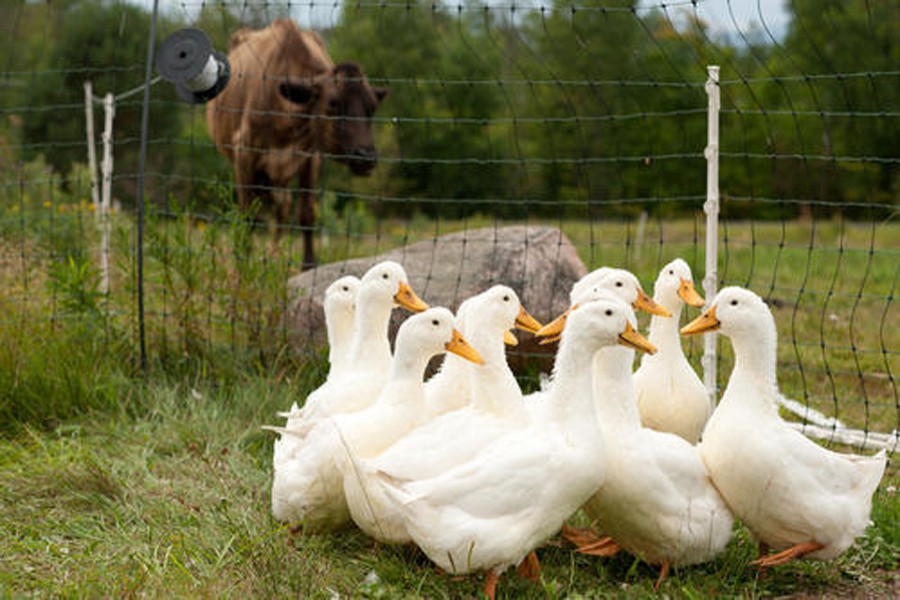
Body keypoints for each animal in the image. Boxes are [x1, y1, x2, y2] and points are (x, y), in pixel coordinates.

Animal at [207, 19, 386, 268]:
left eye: (372, 107)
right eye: (332, 104)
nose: (365, 156)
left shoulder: (312, 157)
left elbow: (306, 213)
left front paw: (308, 264)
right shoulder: (244, 152)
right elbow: (248, 216)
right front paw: (243, 265)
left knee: (282, 208)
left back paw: (273, 256)